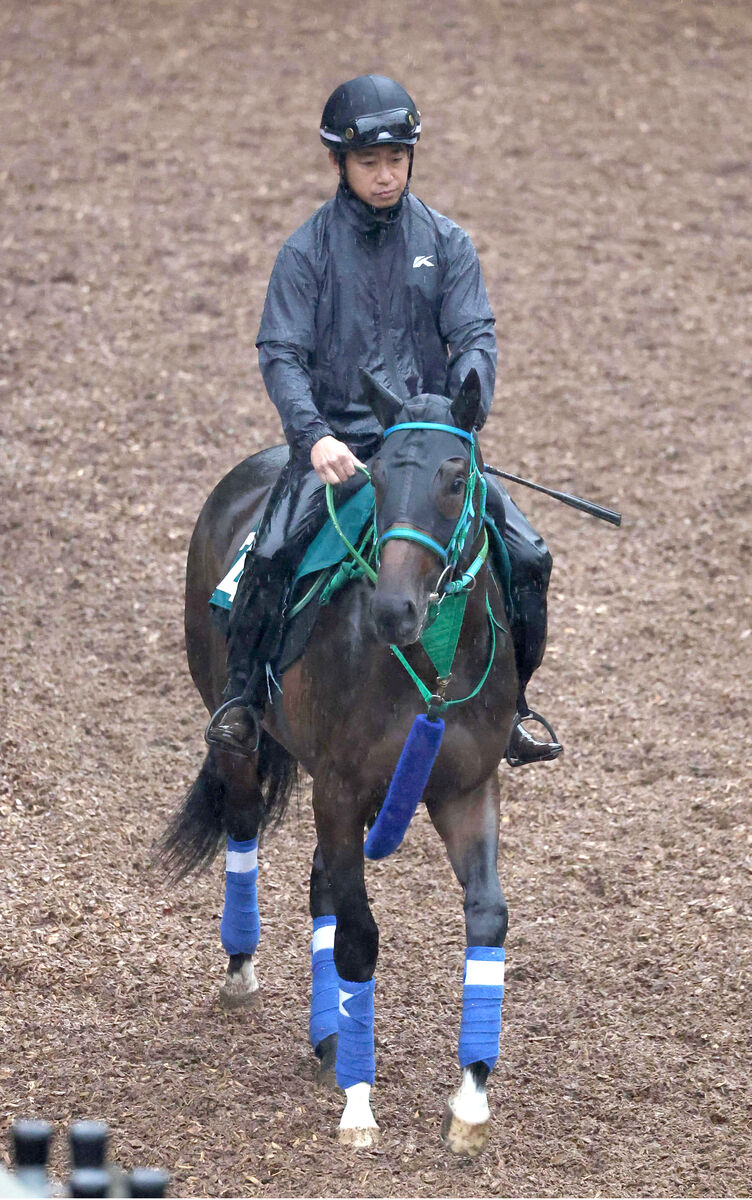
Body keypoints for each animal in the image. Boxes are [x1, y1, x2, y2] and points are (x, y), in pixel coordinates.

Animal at [163, 372, 520, 1152]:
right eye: (376, 478)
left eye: (456, 478)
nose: (394, 610)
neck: (428, 666)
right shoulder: (340, 788)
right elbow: (358, 936)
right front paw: (359, 1102)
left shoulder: (467, 789)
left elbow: (487, 917)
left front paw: (471, 1100)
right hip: (242, 740)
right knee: (245, 826)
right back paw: (245, 974)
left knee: (322, 882)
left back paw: (329, 1035)